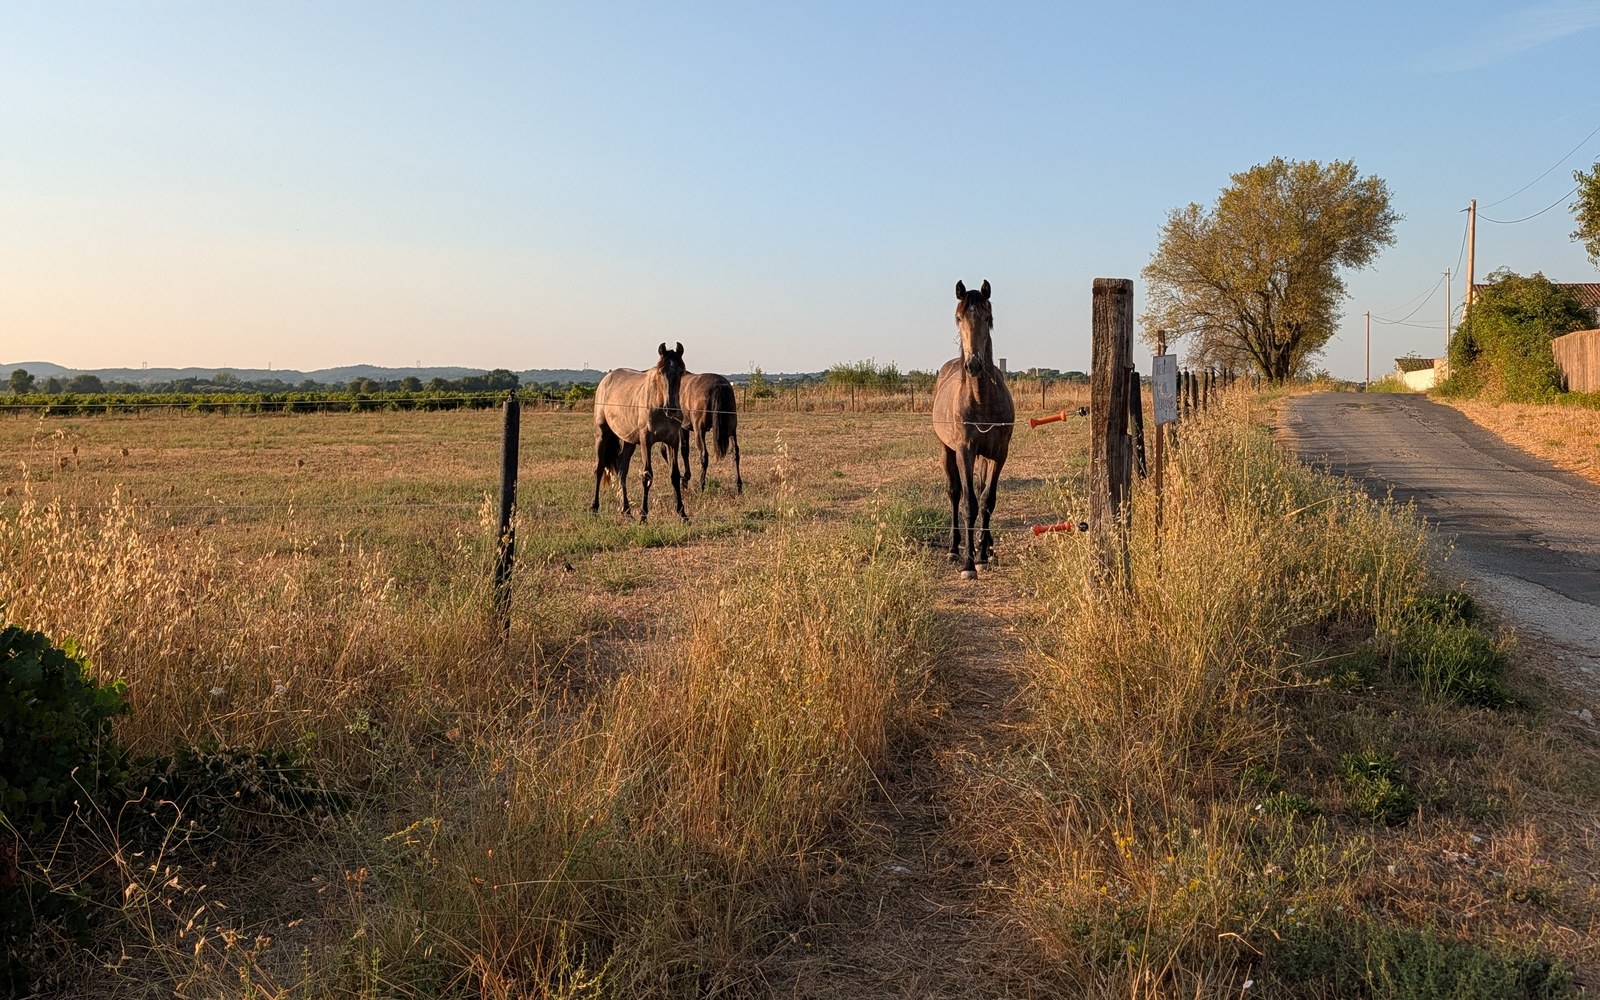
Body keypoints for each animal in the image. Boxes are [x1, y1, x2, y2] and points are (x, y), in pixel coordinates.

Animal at [591, 342, 689, 523]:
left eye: (680, 372)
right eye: (661, 371)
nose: (671, 408)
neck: (659, 403)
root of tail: (606, 379)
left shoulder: (672, 441)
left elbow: (675, 475)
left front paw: (682, 514)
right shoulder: (646, 441)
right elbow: (647, 475)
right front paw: (643, 515)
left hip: (629, 440)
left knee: (622, 469)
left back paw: (627, 511)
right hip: (602, 433)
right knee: (599, 468)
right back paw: (595, 508)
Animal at [933, 280, 1014, 579]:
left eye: (988, 318)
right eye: (958, 318)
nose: (973, 365)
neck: (981, 398)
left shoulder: (999, 454)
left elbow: (987, 499)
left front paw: (982, 555)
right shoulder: (965, 451)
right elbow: (969, 503)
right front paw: (969, 563)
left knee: (980, 491)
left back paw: (986, 545)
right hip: (947, 451)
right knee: (955, 492)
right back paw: (954, 548)